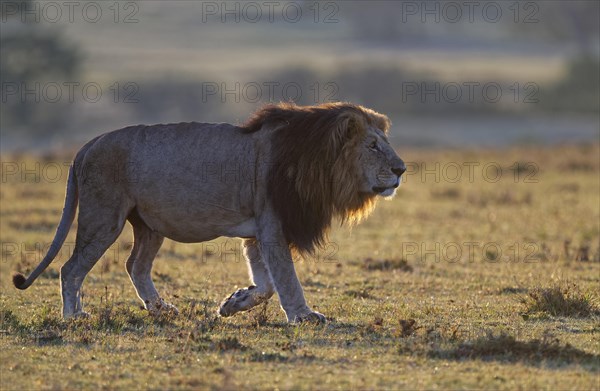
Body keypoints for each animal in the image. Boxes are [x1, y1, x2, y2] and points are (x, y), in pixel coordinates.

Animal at [14, 102, 406, 324]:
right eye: (373, 146)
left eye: (385, 143)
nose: (401, 169)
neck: (319, 161)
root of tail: (88, 144)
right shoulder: (272, 225)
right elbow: (286, 279)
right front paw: (305, 316)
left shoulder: (257, 231)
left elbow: (266, 283)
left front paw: (234, 303)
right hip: (104, 216)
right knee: (71, 268)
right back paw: (74, 317)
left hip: (149, 224)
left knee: (135, 265)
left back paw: (160, 309)